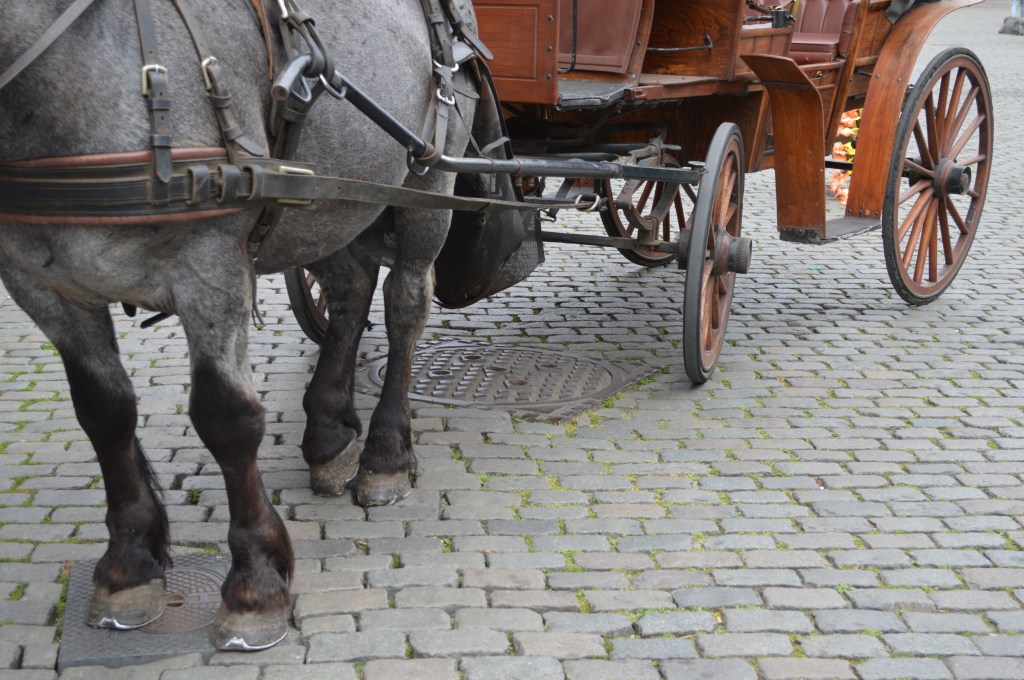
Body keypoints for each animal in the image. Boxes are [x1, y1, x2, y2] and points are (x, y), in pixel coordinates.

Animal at [0, 0, 486, 651]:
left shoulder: (209, 266)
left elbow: (226, 417)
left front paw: (255, 583)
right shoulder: (41, 284)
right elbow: (103, 413)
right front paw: (129, 566)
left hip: (427, 179)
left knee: (405, 301)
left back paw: (384, 454)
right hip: (329, 201)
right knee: (352, 288)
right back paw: (329, 434)